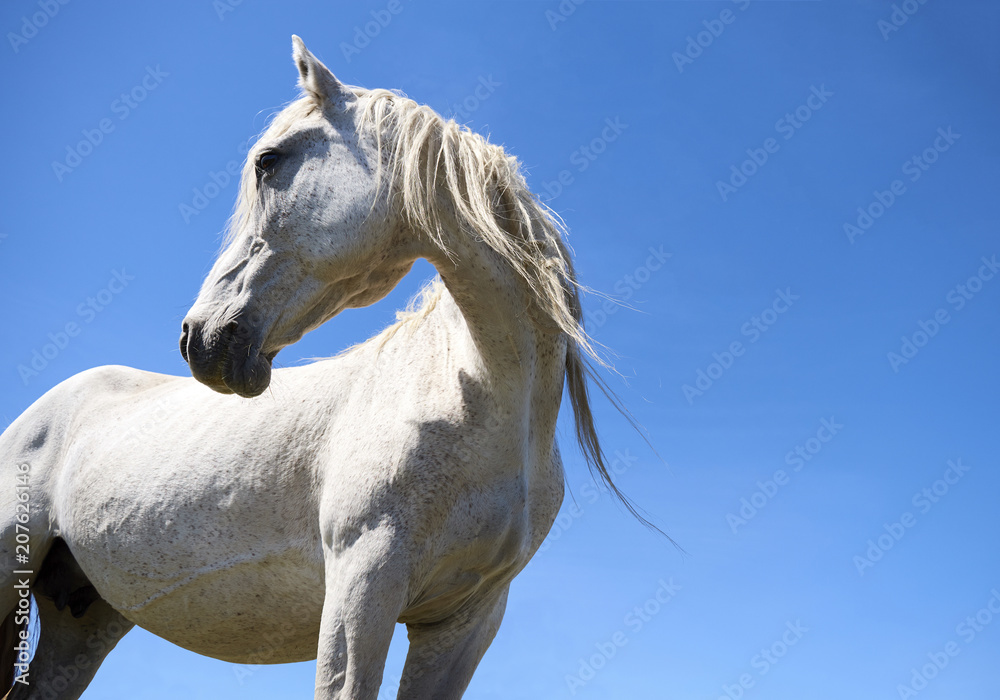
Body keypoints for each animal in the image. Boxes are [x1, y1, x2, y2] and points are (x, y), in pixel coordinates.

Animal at [0, 36, 650, 699]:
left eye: (268, 161)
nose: (199, 339)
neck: (475, 399)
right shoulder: (363, 582)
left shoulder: (466, 618)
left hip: (85, 617)